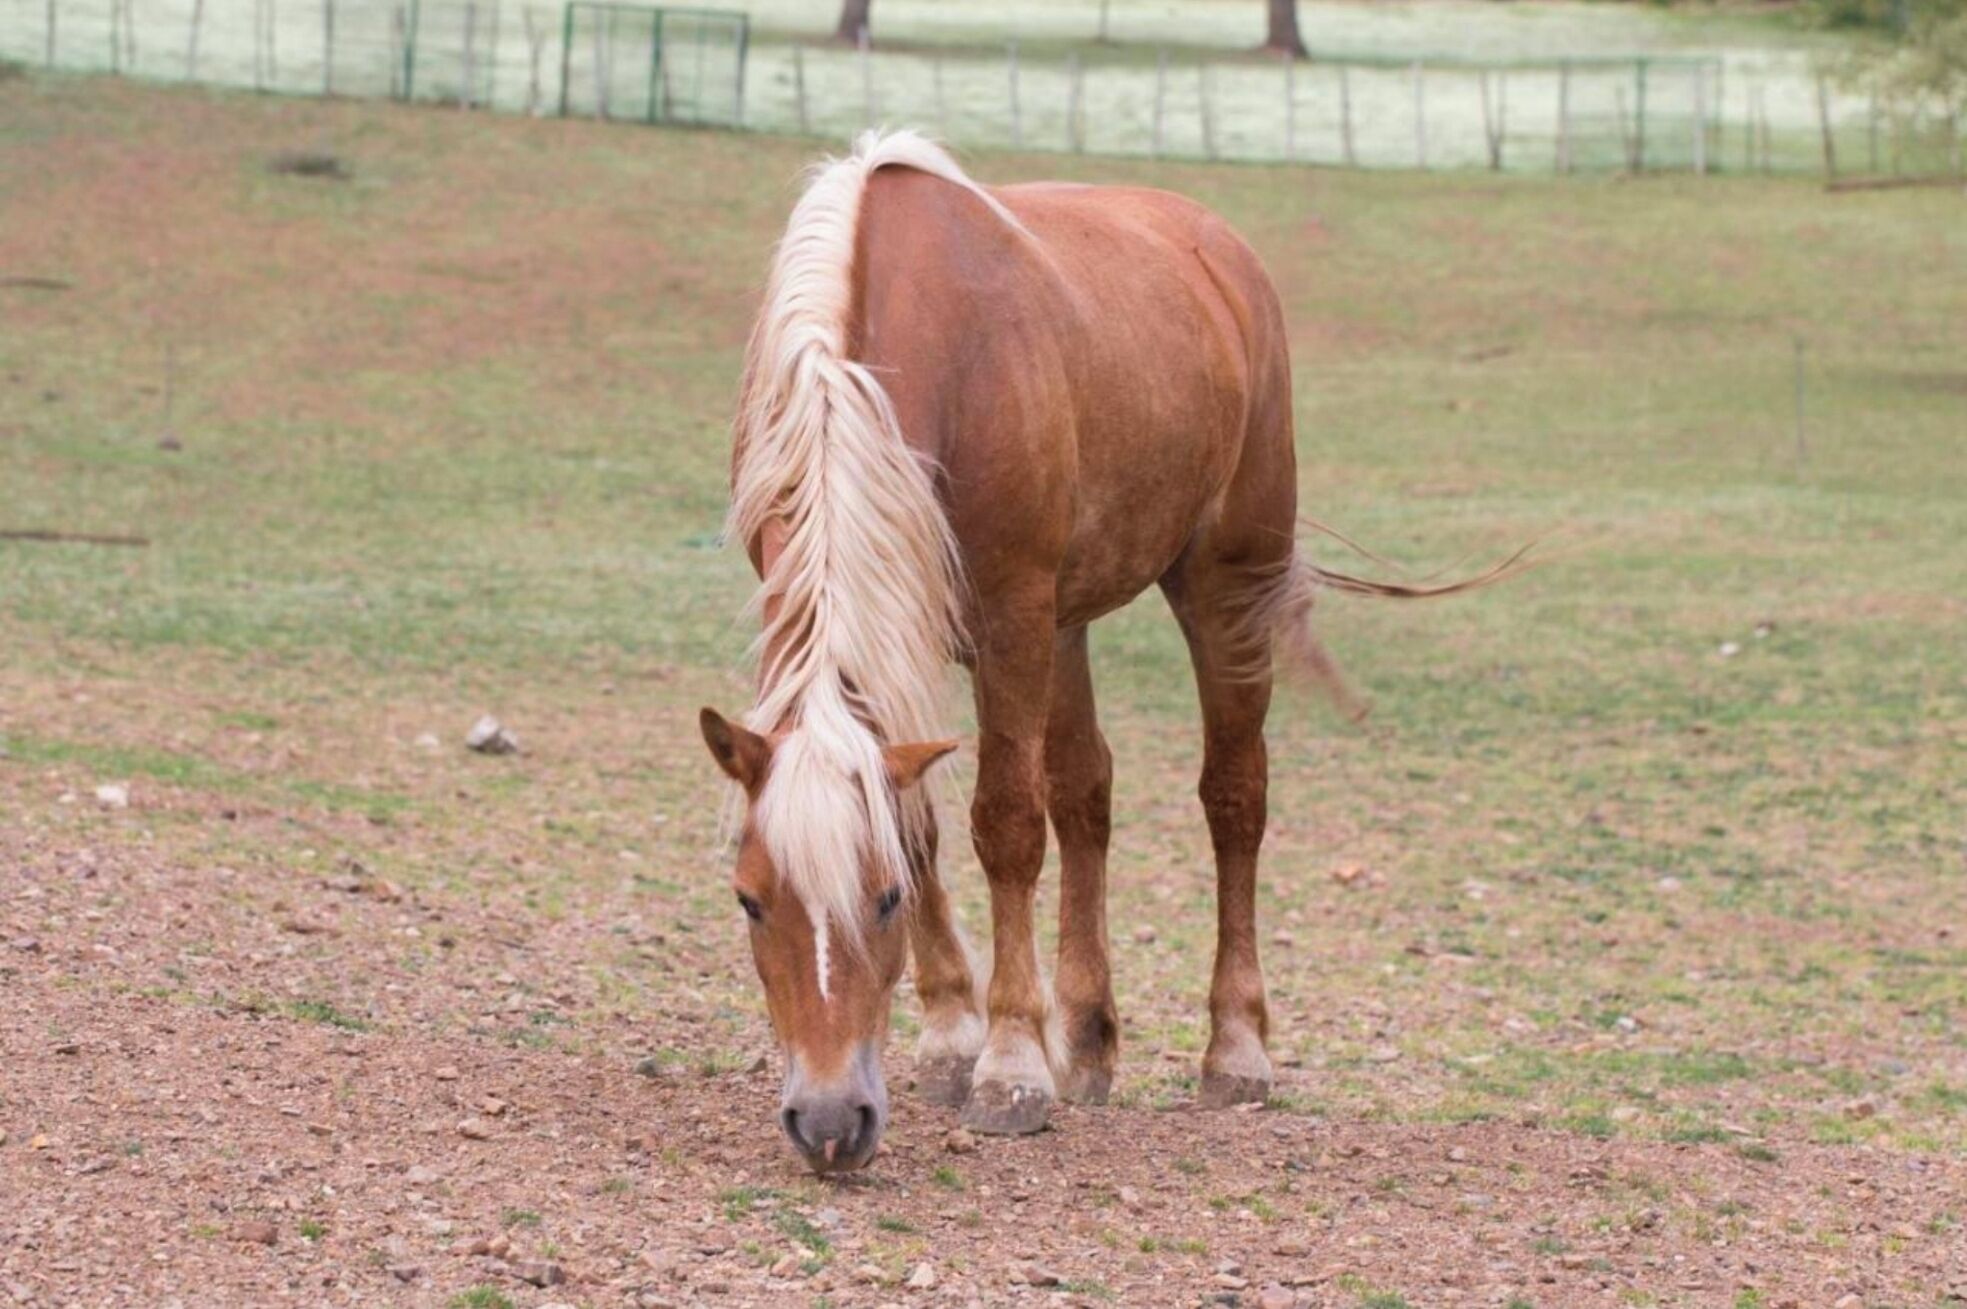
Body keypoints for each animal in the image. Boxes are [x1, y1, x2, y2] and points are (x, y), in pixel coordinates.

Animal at [700, 131, 1503, 1174]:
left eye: (880, 902)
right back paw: (1086, 1039)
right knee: (1086, 790)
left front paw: (1007, 1065)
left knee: (1233, 797)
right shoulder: (908, 627)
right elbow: (929, 819)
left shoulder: (1009, 617)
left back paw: (1234, 1049)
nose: (829, 1122)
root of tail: (1218, 250)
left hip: (1220, 585)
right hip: (1068, 624)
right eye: (749, 900)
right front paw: (955, 1036)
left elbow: (1005, 825)